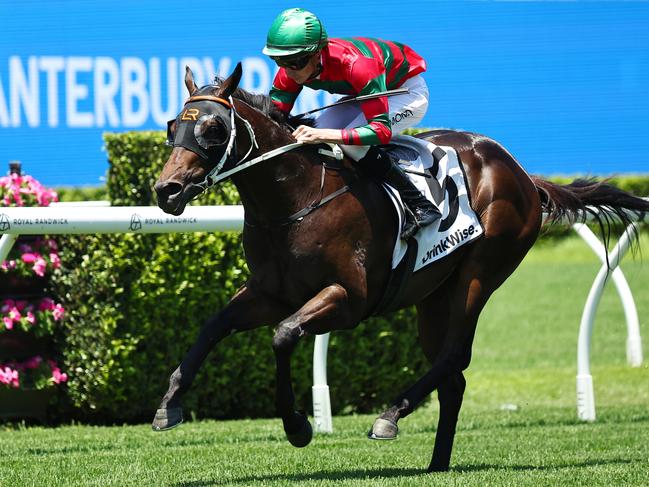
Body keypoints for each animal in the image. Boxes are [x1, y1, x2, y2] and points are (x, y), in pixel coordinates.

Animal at [151, 65, 648, 472]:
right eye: (174, 126)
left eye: (214, 129)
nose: (166, 190)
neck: (297, 198)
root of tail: (524, 175)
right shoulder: (269, 293)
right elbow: (213, 326)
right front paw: (168, 406)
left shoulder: (349, 299)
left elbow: (284, 335)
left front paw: (297, 426)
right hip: (432, 296)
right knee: (453, 378)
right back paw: (437, 463)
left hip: (480, 273)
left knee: (454, 355)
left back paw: (389, 416)